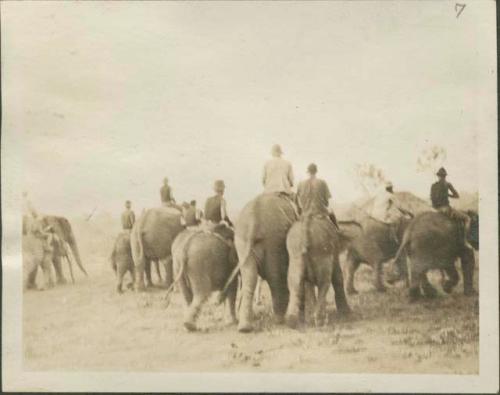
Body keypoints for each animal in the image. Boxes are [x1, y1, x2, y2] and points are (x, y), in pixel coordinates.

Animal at [234, 195, 296, 334]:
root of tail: (253, 221)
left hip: (242, 241)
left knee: (249, 276)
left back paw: (244, 327)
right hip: (274, 241)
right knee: (275, 278)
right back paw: (279, 319)